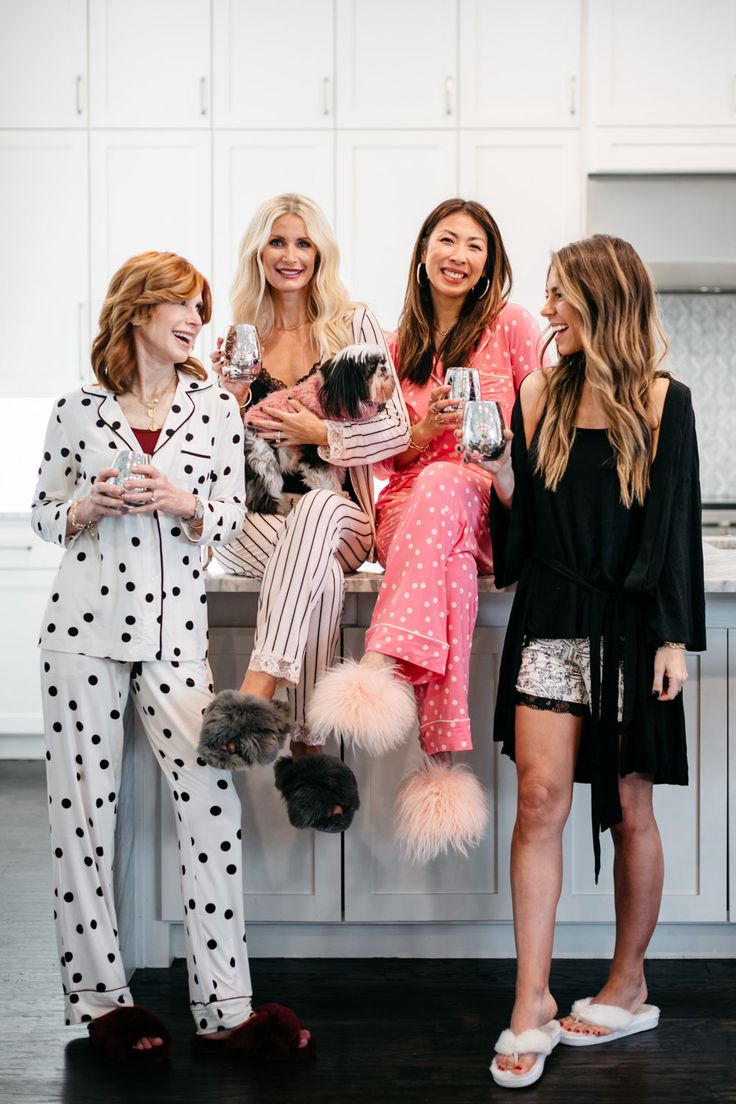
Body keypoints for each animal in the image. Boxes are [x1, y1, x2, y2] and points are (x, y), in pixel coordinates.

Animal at [242, 342, 395, 514]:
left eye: (382, 360)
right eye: (371, 367)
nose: (384, 366)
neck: (331, 396)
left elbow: (335, 472)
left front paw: (340, 491)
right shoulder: (312, 451)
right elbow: (325, 478)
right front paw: (335, 493)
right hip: (263, 458)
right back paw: (282, 506)